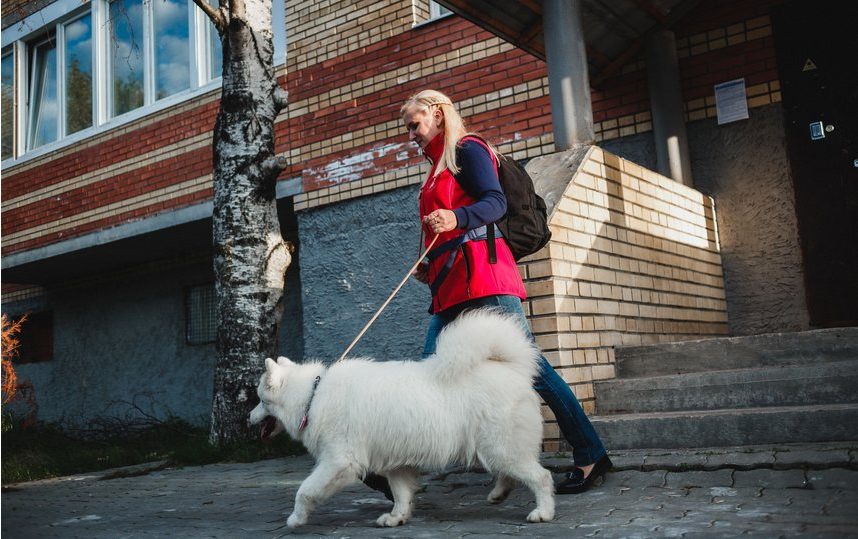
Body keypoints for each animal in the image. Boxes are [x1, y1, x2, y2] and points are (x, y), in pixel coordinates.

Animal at [247, 308, 556, 528]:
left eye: (261, 400)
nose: (248, 417)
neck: (312, 395)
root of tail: (514, 370)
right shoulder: (394, 461)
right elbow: (401, 494)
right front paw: (397, 517)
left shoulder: (339, 461)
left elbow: (304, 490)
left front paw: (296, 519)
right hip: (494, 448)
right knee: (511, 474)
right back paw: (499, 494)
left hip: (500, 446)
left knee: (540, 476)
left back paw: (542, 512)